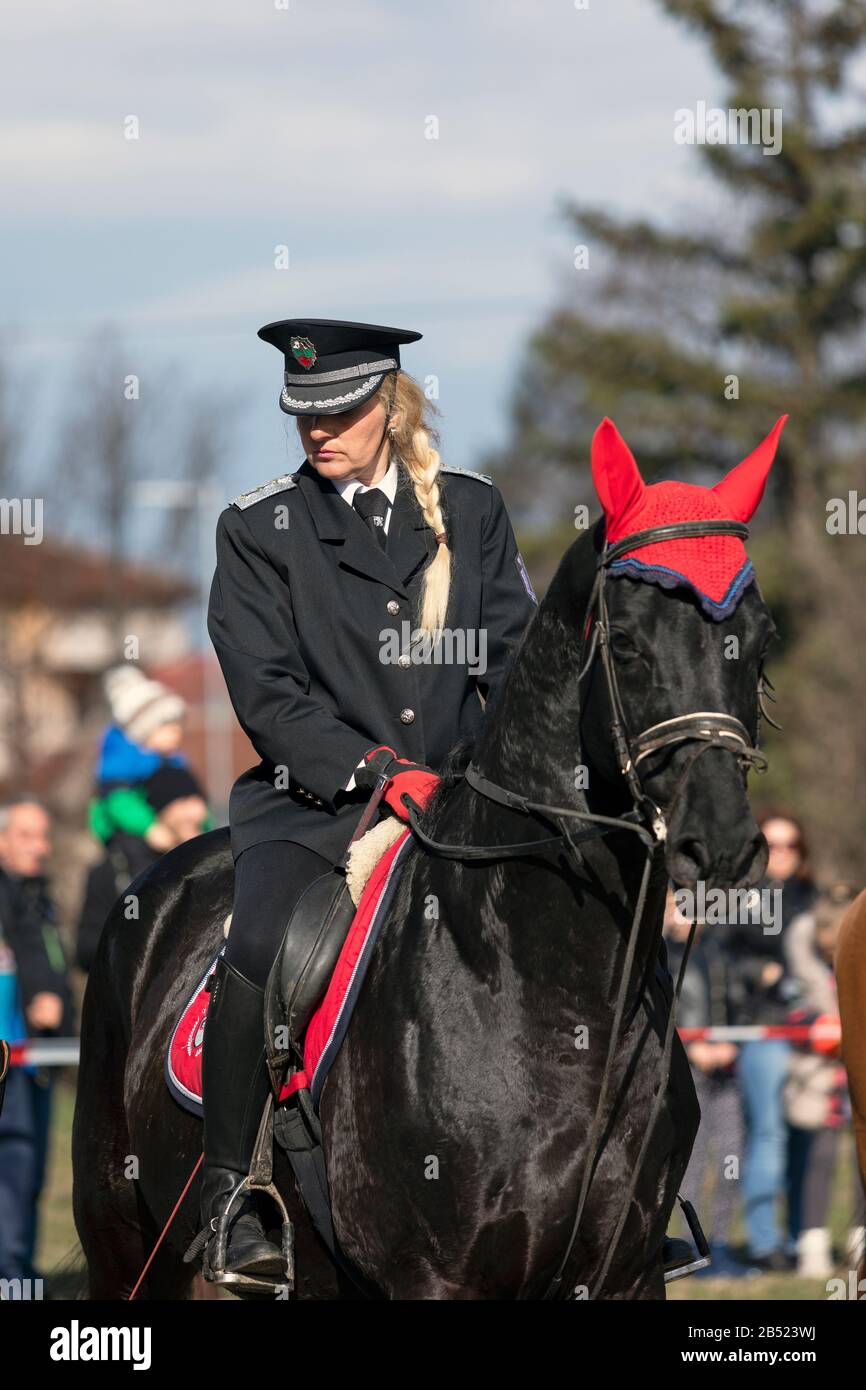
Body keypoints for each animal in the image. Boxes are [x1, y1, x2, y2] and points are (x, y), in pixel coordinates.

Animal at [74, 494, 778, 1295]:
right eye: (625, 643)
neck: (563, 996)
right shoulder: (435, 1275)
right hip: (126, 1246)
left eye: (761, 644)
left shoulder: (625, 1274)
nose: (721, 841)